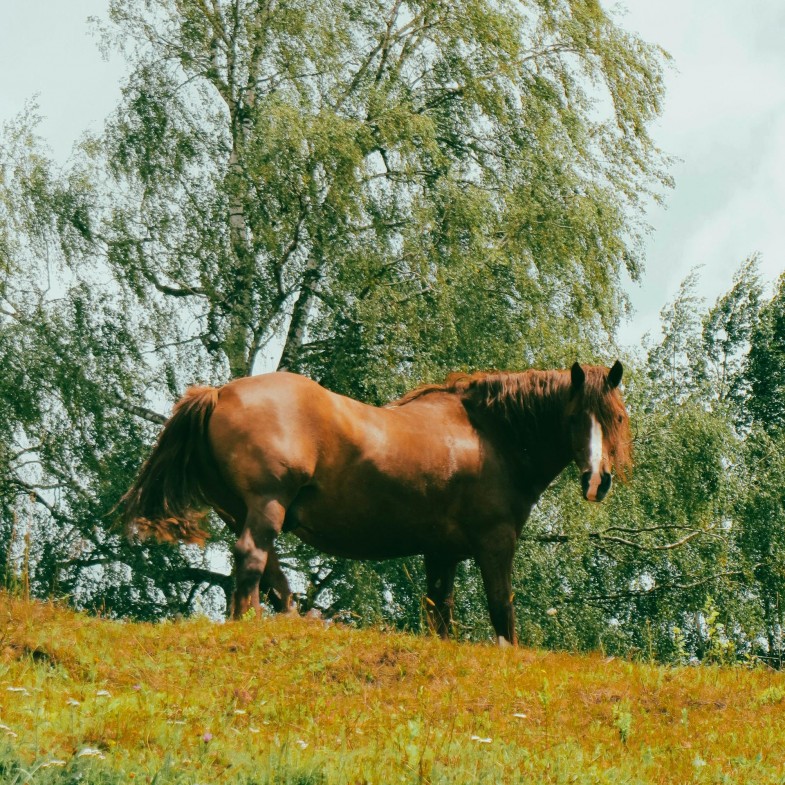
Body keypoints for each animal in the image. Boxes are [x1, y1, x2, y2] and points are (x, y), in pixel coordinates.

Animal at [121, 361, 631, 645]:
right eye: (573, 416)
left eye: (617, 416)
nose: (597, 480)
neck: (488, 437)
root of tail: (220, 393)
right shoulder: (495, 543)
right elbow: (501, 608)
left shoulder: (441, 553)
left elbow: (439, 612)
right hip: (267, 505)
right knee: (251, 561)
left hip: (241, 510)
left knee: (269, 571)